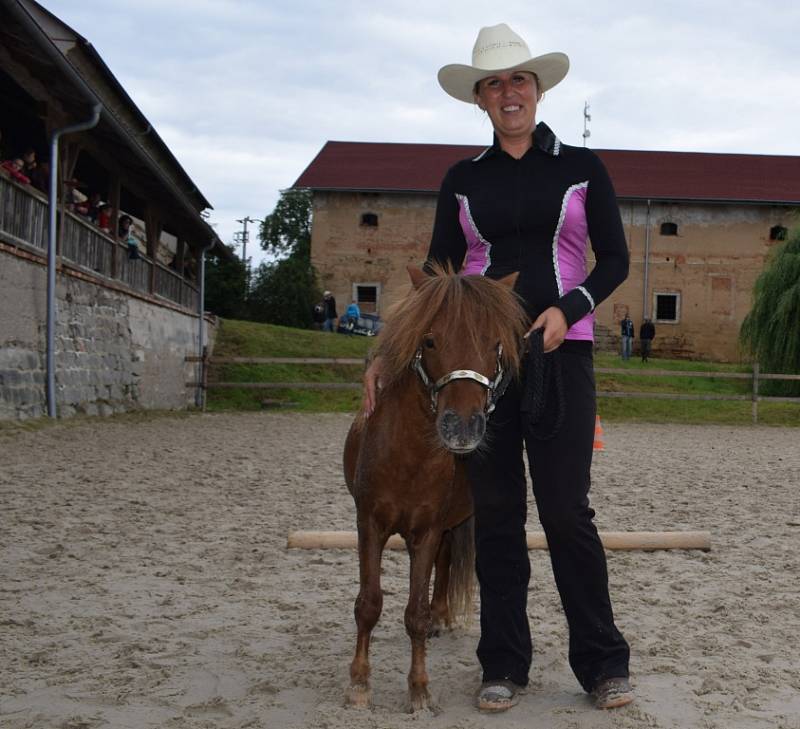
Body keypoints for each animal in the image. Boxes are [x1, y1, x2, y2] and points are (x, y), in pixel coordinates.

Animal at [340, 264, 528, 712]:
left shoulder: (425, 531)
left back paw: (441, 616)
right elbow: (368, 604)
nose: (462, 427)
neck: (407, 456)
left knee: (442, 567)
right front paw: (359, 684)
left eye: (495, 343)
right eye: (429, 340)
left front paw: (419, 689)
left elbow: (415, 614)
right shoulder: (368, 525)